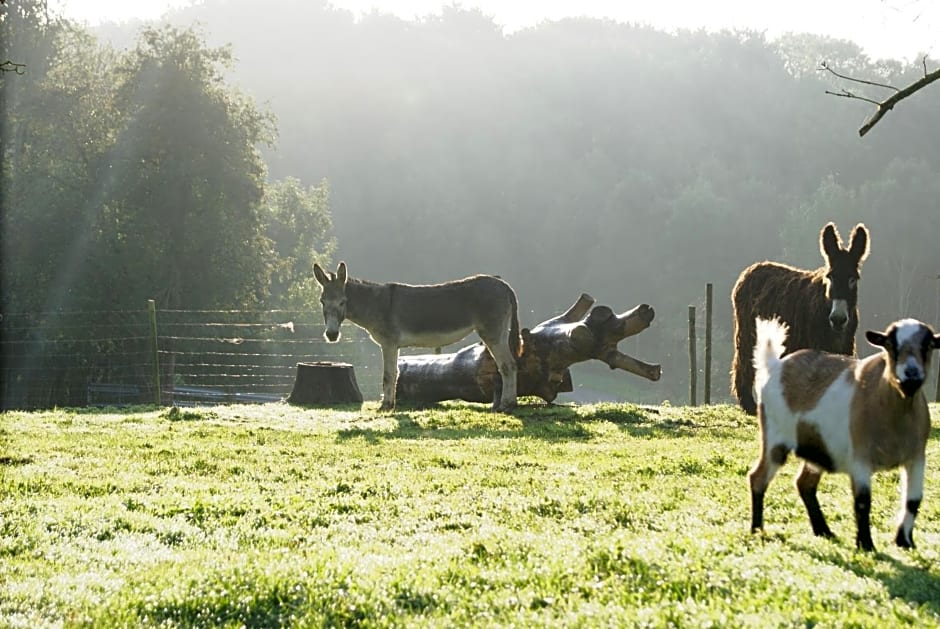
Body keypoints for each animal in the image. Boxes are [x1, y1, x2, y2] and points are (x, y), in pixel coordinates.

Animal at [732, 223, 872, 414]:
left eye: (853, 279)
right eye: (830, 277)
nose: (838, 319)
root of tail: (752, 269)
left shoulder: (844, 349)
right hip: (748, 333)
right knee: (744, 363)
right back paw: (750, 406)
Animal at [748, 316, 940, 548]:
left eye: (928, 345)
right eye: (890, 344)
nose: (911, 375)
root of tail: (775, 365)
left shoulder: (916, 457)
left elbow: (913, 500)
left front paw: (905, 542)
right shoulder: (860, 456)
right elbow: (863, 501)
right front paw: (866, 545)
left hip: (817, 449)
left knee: (804, 483)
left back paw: (824, 531)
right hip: (774, 438)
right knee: (758, 478)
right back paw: (757, 529)